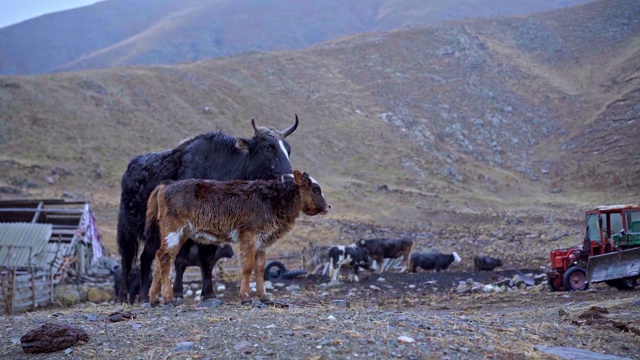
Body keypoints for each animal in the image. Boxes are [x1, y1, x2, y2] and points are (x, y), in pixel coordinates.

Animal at [116, 115, 298, 304]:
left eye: (288, 150)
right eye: (269, 147)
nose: (289, 179)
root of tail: (131, 168)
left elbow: (208, 260)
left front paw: (209, 294)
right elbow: (181, 260)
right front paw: (178, 294)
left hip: (154, 233)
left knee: (146, 258)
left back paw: (144, 297)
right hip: (128, 228)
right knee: (127, 258)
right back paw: (123, 297)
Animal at [145, 170, 330, 306]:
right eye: (315, 189)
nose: (328, 206)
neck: (274, 199)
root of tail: (167, 184)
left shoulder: (261, 242)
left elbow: (260, 268)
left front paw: (264, 297)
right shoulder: (248, 237)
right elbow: (247, 267)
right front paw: (246, 297)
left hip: (178, 233)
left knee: (160, 258)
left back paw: (154, 298)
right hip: (173, 231)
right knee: (164, 257)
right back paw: (168, 298)